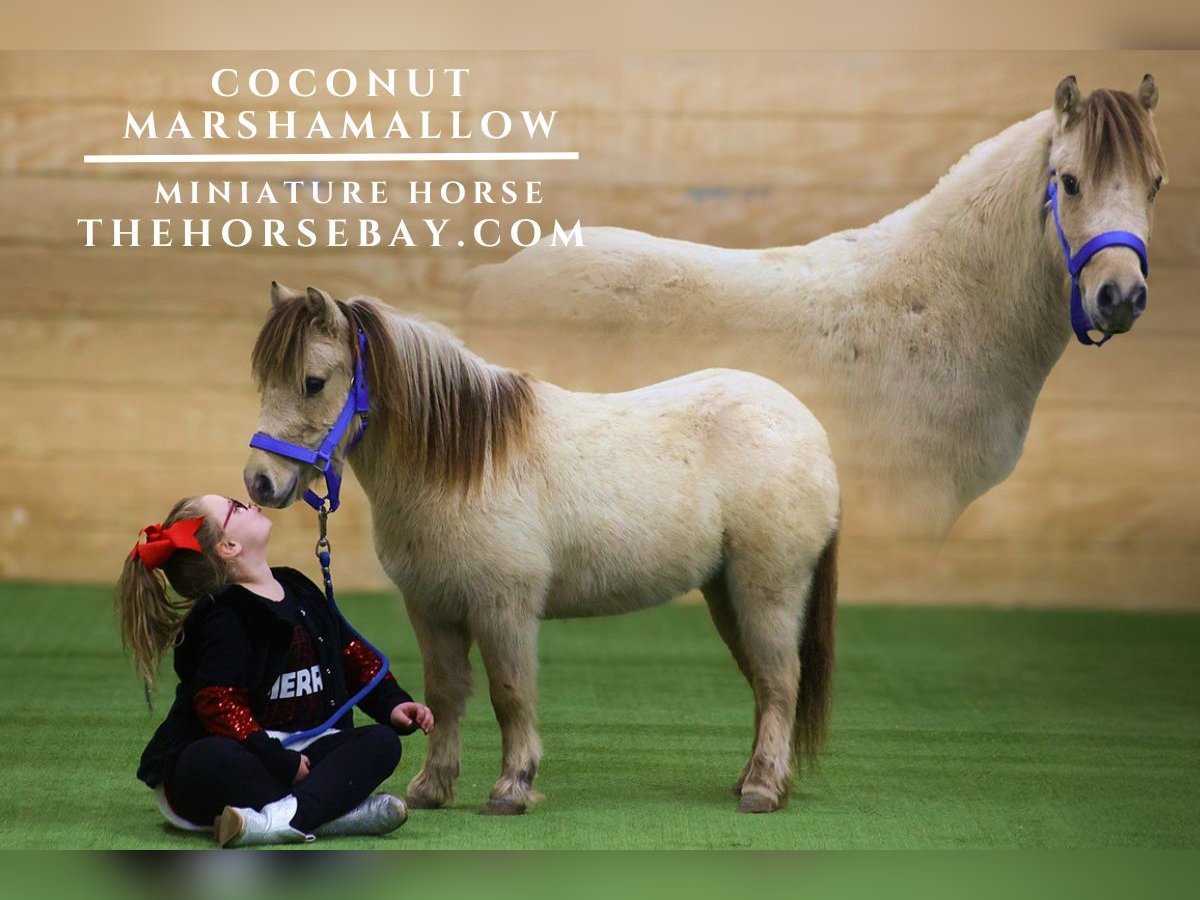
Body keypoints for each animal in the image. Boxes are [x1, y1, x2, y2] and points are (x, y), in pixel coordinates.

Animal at [244, 289, 844, 816]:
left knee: (780, 681)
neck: (464, 466)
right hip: (727, 595)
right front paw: (431, 789)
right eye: (264, 383)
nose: (260, 482)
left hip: (767, 590)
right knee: (763, 683)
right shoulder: (432, 609)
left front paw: (511, 788)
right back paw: (755, 780)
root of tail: (807, 428)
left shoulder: (504, 607)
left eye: (313, 382)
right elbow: (445, 694)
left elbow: (509, 695)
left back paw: (762, 790)